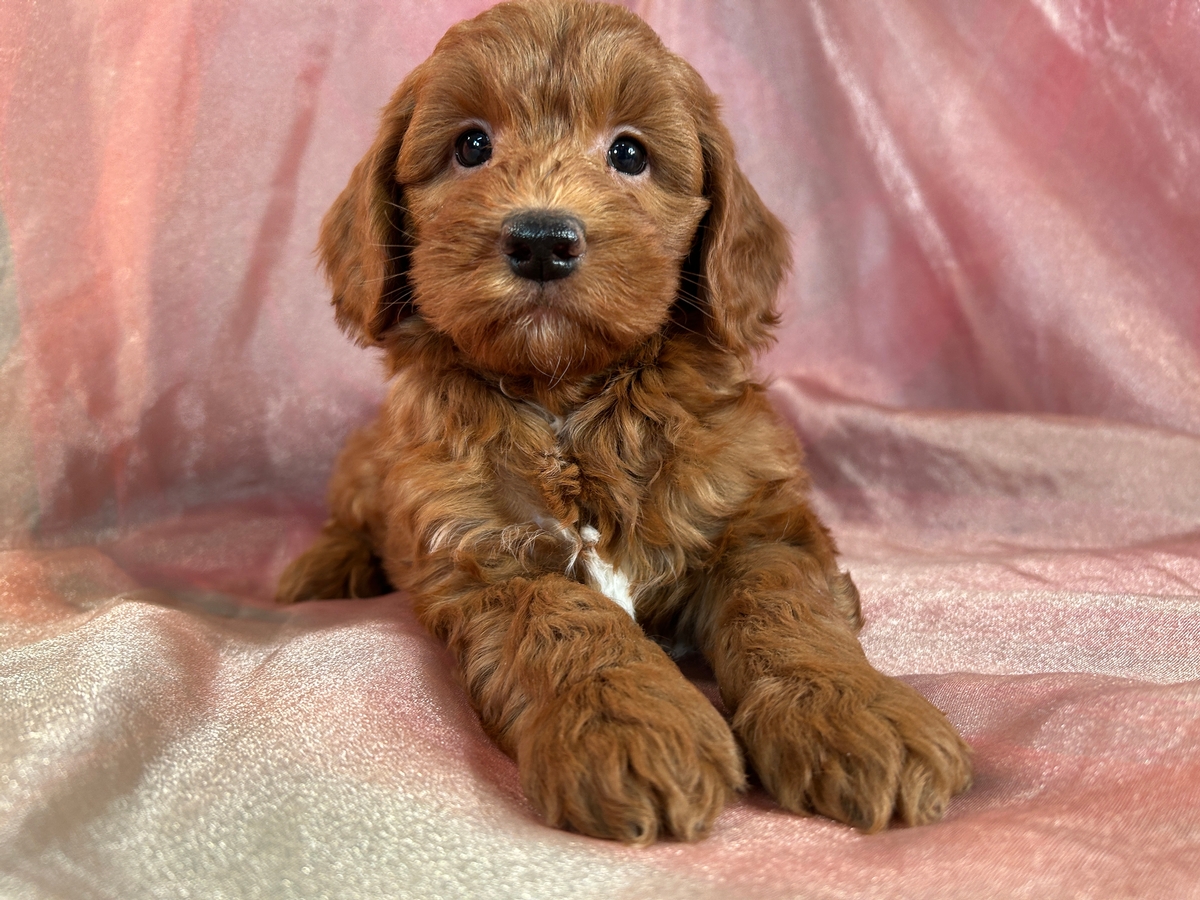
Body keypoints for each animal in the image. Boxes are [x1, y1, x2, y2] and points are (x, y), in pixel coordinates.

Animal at [276, 0, 969, 844]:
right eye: (471, 145)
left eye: (629, 153)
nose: (542, 241)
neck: (569, 401)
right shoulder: (483, 551)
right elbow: (567, 619)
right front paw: (627, 727)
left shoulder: (759, 518)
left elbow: (785, 605)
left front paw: (854, 712)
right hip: (370, 453)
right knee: (352, 512)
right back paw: (323, 569)